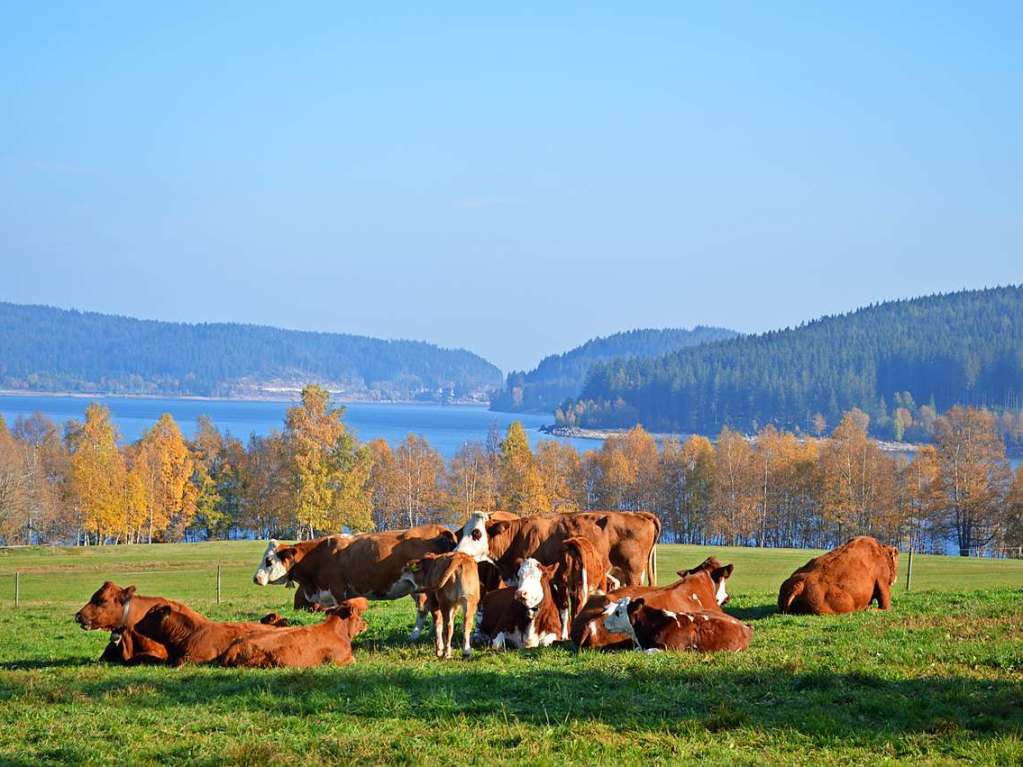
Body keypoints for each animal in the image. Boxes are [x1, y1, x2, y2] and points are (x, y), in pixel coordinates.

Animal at [217, 597, 370, 670]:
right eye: (359, 615)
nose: (366, 624)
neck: (339, 632)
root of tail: (235, 645)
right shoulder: (339, 659)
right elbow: (354, 660)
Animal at [251, 527, 456, 638]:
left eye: (268, 560)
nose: (255, 578)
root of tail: (437, 528)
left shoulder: (338, 590)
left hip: (421, 589)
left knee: (424, 610)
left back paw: (415, 635)